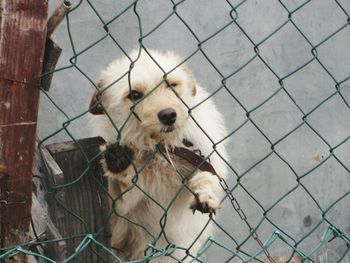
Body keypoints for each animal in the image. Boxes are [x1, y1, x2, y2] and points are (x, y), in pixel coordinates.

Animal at [89, 49, 228, 262]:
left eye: (171, 85)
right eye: (134, 95)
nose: (169, 115)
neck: (158, 147)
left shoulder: (204, 159)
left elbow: (206, 177)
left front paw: (205, 196)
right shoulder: (121, 204)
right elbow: (119, 193)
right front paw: (119, 162)